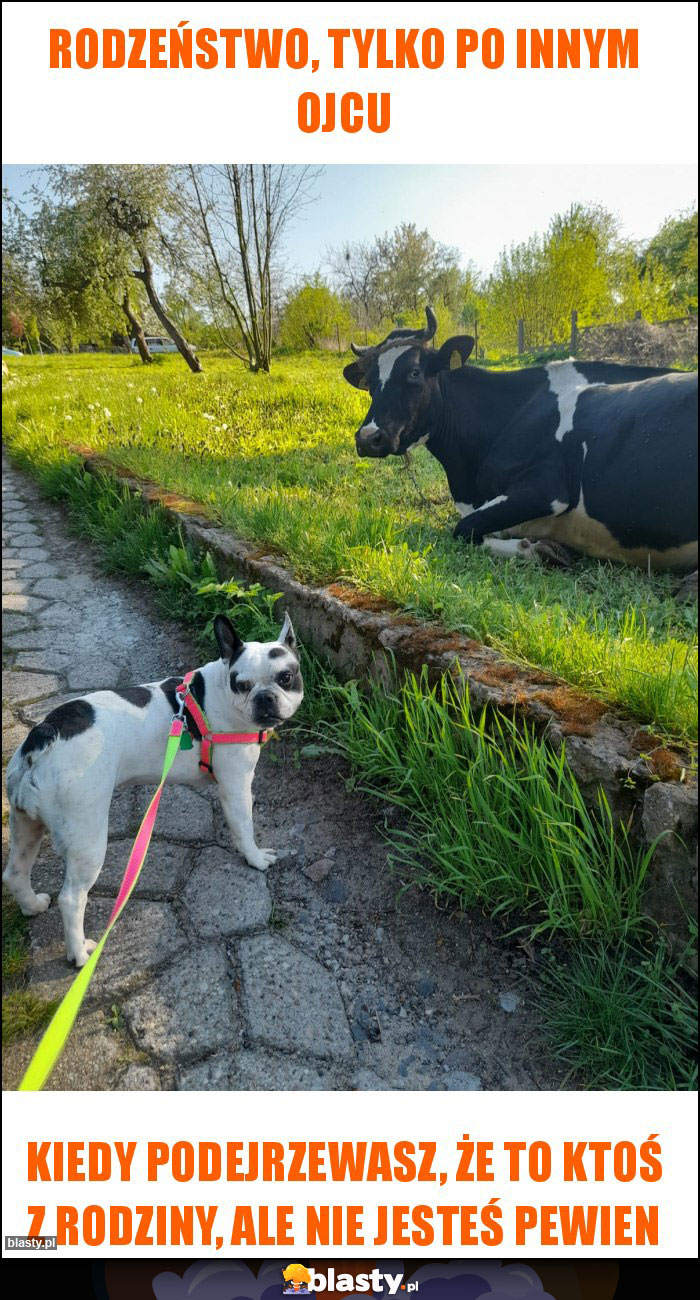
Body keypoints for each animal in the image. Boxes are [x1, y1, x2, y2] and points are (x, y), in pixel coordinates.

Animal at [2, 616, 301, 967]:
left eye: (285, 677)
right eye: (241, 684)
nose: (265, 697)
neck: (217, 692)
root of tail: (43, 735)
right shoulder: (236, 785)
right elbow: (244, 828)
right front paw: (254, 858)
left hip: (25, 823)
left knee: (15, 872)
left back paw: (32, 905)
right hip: (86, 837)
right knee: (72, 898)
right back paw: (80, 954)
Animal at [340, 306, 692, 572]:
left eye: (414, 373)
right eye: (370, 381)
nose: (368, 438)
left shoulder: (548, 487)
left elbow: (463, 529)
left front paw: (539, 549)